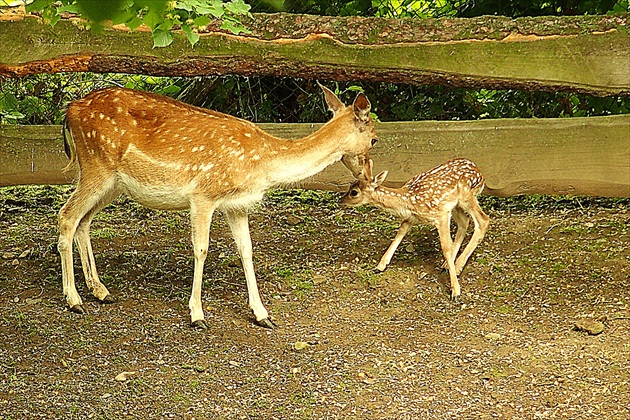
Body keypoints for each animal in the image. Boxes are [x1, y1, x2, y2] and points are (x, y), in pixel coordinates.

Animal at [59, 84, 378, 328]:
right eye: (375, 139)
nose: (367, 177)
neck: (263, 163)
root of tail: (70, 110)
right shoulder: (203, 194)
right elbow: (201, 249)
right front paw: (197, 315)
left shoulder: (237, 205)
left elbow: (247, 250)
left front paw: (262, 314)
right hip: (96, 166)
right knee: (66, 216)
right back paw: (74, 299)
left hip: (113, 183)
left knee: (83, 221)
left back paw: (100, 291)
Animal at [344, 158, 492, 298]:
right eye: (350, 185)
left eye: (354, 192)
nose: (341, 201)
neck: (408, 200)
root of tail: (480, 172)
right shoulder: (412, 217)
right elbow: (400, 231)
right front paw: (380, 266)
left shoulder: (440, 214)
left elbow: (445, 248)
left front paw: (455, 291)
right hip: (454, 205)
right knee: (464, 221)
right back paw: (448, 265)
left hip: (466, 196)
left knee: (483, 220)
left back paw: (457, 267)